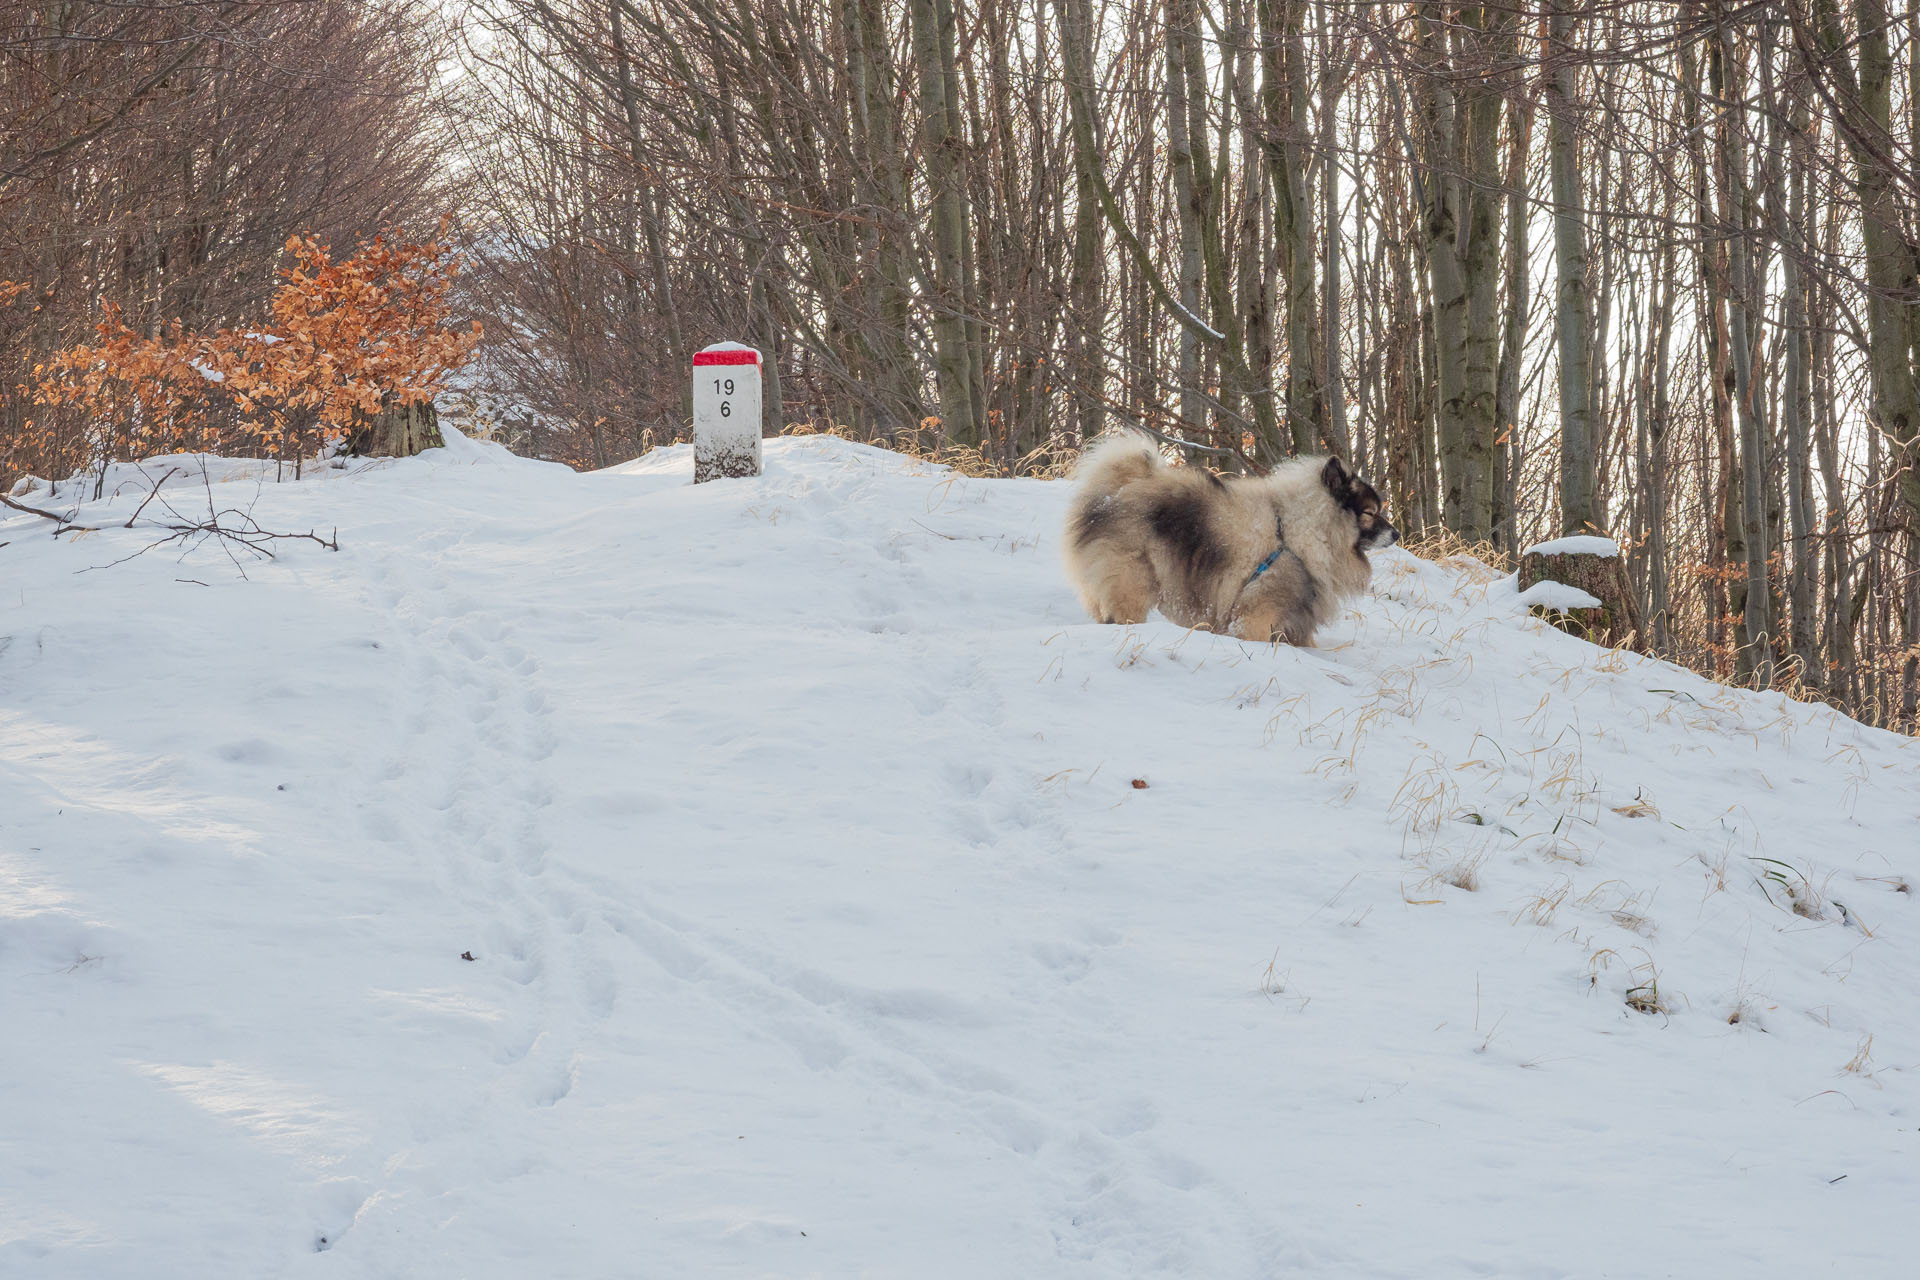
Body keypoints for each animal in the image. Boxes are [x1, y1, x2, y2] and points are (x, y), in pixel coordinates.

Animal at [1059, 435, 1405, 644]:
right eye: (1370, 513)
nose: (1397, 533)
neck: (1297, 531)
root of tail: (1114, 492)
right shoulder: (1255, 615)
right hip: (1133, 584)